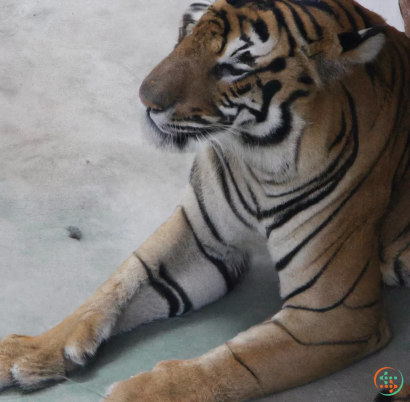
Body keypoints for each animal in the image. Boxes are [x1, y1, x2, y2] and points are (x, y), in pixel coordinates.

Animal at [0, 0, 410, 400]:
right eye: (186, 36)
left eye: (234, 66)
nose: (144, 100)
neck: (257, 159)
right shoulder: (200, 243)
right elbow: (117, 285)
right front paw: (29, 351)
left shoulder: (333, 312)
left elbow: (240, 361)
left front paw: (137, 392)